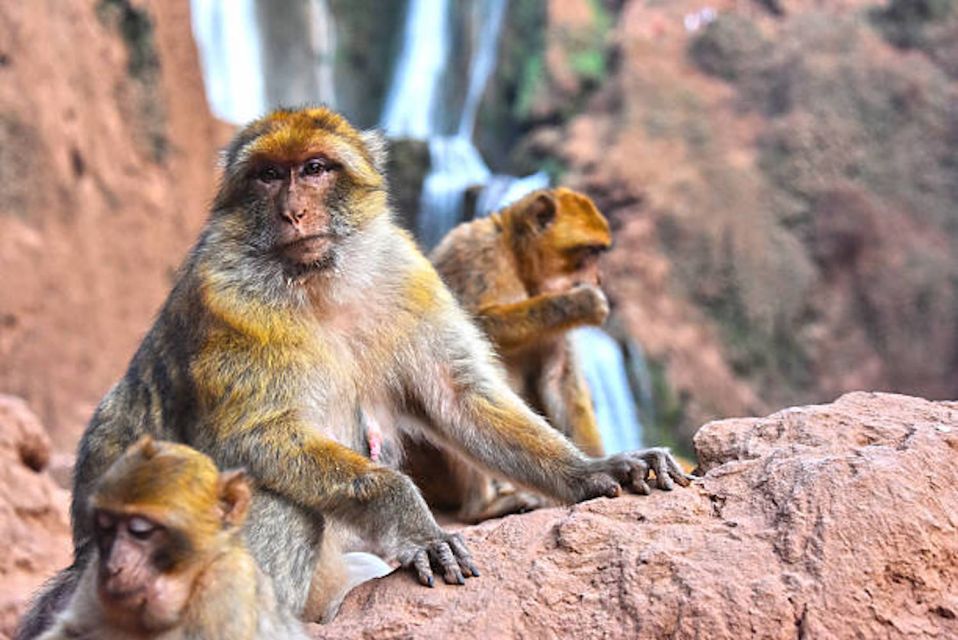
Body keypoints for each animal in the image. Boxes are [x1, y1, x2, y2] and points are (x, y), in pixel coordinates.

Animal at [404, 188, 616, 524]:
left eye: (599, 253)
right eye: (589, 252)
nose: (598, 280)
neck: (517, 262)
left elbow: (561, 381)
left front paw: (598, 465)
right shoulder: (477, 253)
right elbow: (465, 326)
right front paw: (581, 302)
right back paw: (482, 507)